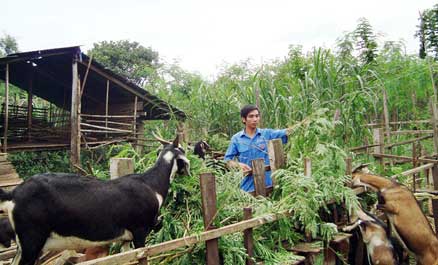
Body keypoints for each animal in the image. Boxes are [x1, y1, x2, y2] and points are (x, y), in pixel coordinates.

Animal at [0, 136, 189, 264]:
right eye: (184, 152)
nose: (188, 172)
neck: (151, 185)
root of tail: (14, 193)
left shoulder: (125, 239)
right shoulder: (140, 232)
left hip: (22, 245)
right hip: (32, 241)